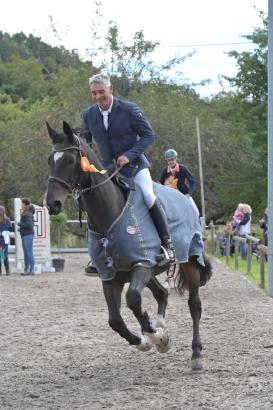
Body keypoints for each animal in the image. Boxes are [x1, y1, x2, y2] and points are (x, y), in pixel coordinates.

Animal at [44, 120, 211, 370]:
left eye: (71, 160)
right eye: (50, 160)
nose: (51, 204)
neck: (108, 217)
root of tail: (184, 200)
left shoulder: (141, 265)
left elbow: (132, 300)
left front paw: (155, 336)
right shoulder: (110, 276)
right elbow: (115, 320)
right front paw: (147, 339)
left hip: (188, 262)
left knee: (194, 305)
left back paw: (195, 354)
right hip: (150, 271)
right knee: (162, 293)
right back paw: (160, 325)